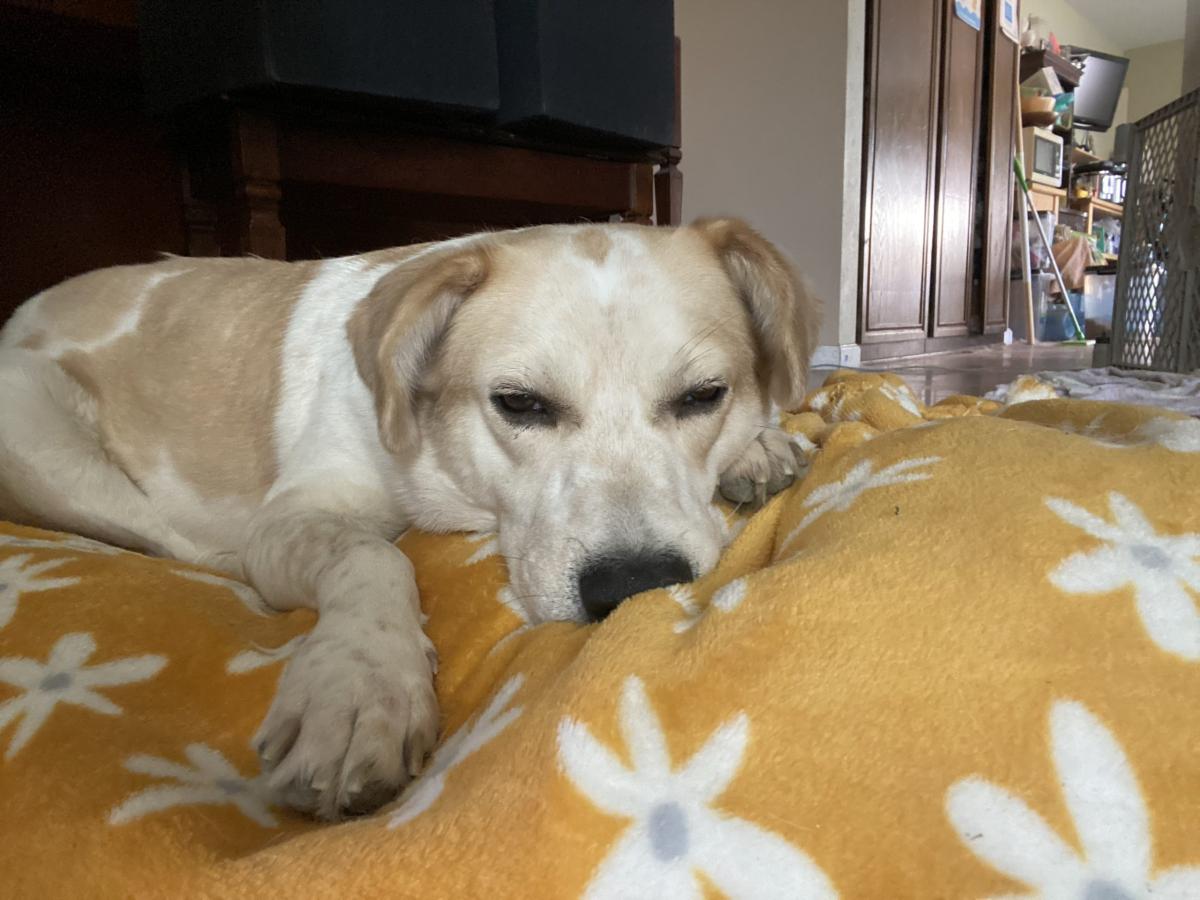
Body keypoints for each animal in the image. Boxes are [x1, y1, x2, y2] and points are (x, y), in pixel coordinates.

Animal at [0, 218, 820, 819]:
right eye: (519, 403)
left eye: (704, 395)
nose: (633, 585)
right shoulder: (294, 519)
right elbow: (372, 554)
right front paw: (359, 687)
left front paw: (760, 444)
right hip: (40, 431)